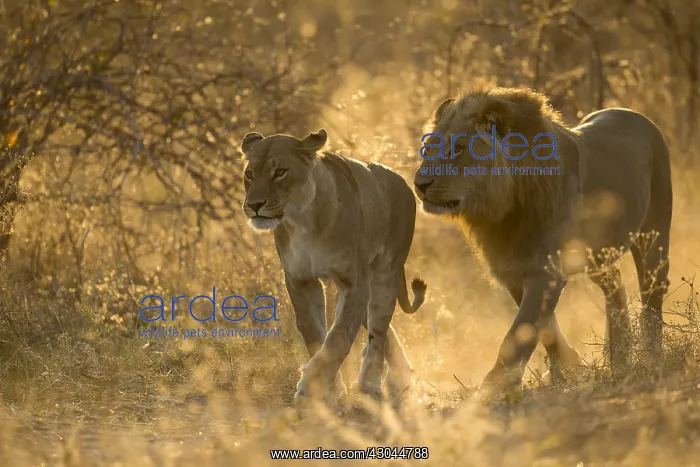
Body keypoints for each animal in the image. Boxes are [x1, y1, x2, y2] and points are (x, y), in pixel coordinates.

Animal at [239, 128, 427, 403]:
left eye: (280, 172)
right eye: (249, 174)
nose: (253, 205)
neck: (302, 219)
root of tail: (401, 181)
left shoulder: (354, 283)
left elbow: (339, 337)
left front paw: (310, 386)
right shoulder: (299, 279)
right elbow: (314, 333)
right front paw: (327, 388)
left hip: (385, 273)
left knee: (379, 330)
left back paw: (371, 383)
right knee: (382, 330)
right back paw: (403, 375)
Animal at [413, 86, 672, 392]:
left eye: (459, 148)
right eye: (428, 149)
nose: (419, 185)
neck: (503, 211)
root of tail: (635, 115)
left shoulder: (544, 271)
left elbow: (520, 330)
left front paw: (495, 386)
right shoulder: (513, 270)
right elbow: (544, 328)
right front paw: (567, 369)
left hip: (653, 237)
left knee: (652, 293)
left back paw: (650, 354)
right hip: (596, 256)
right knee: (616, 282)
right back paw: (620, 354)